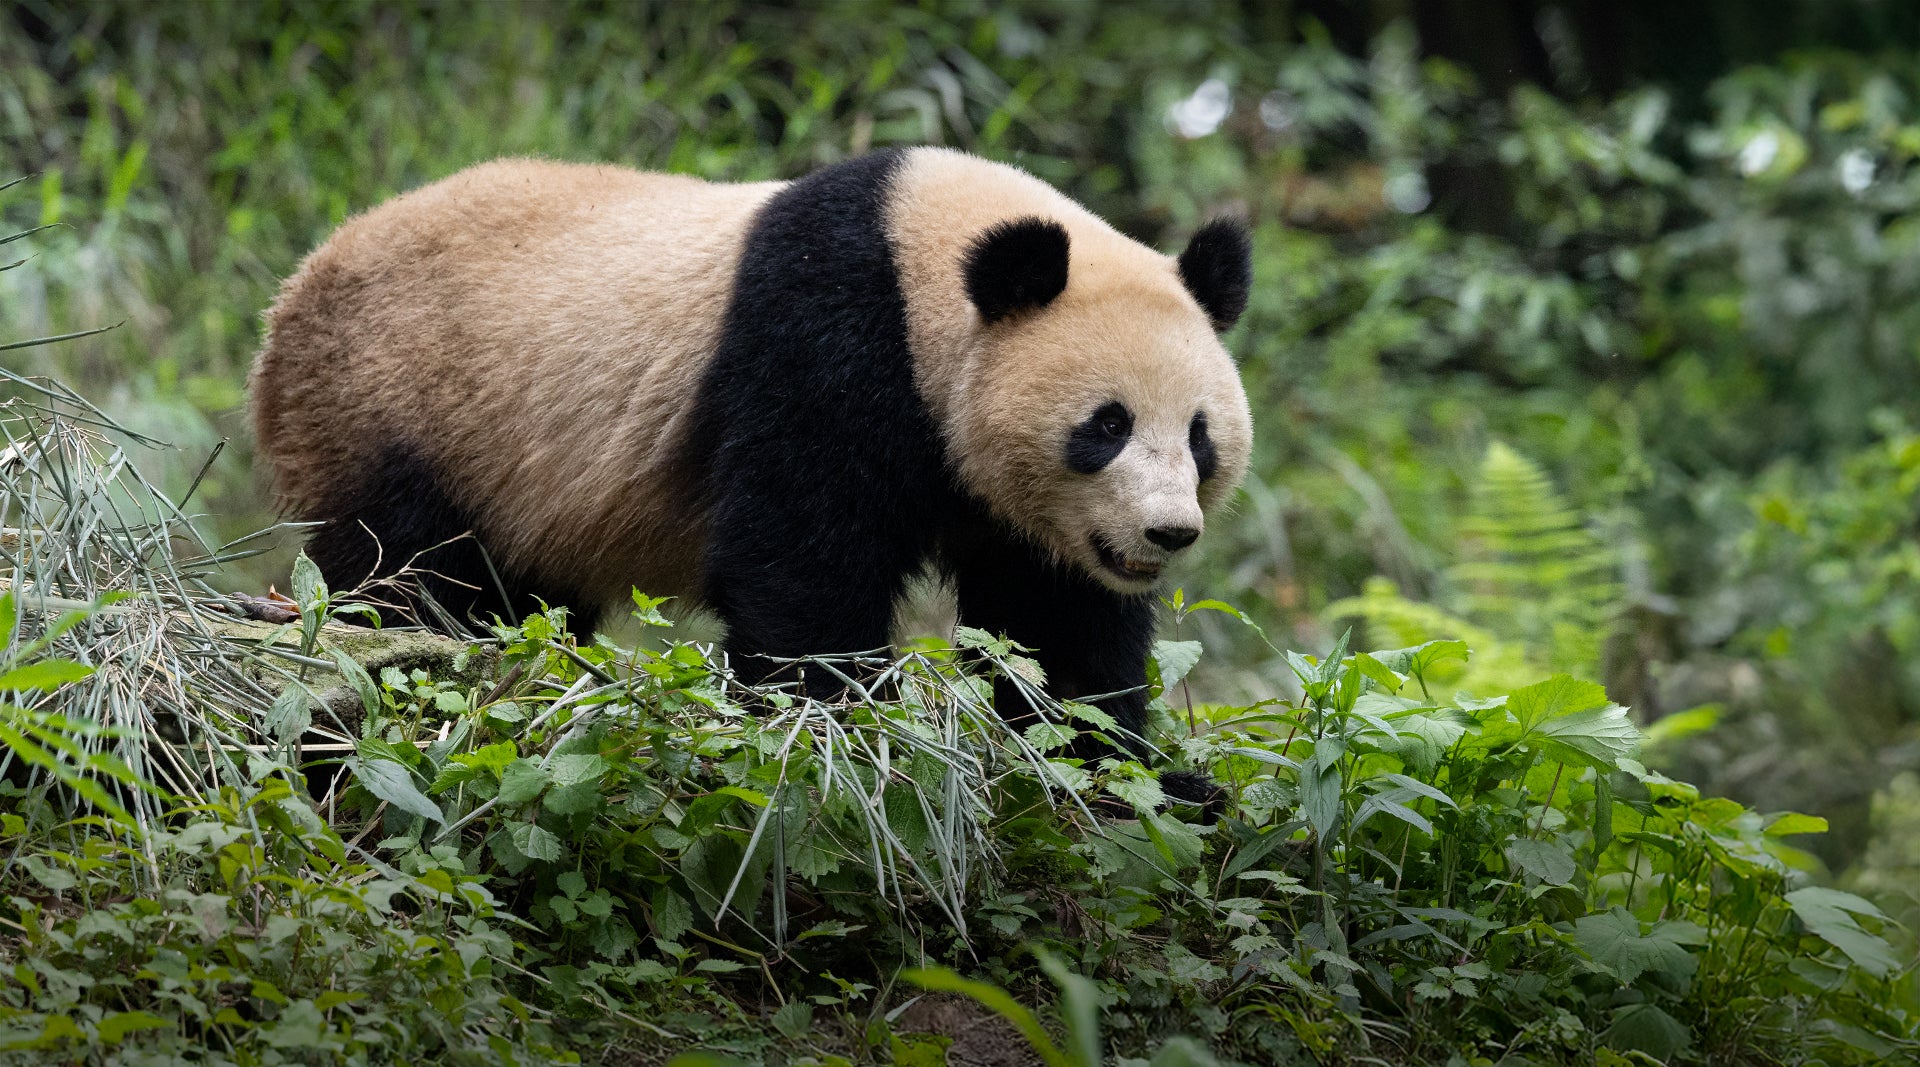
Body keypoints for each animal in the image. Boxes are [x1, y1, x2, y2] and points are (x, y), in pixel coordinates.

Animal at [250, 147, 1253, 807]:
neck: (921, 253)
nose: (1166, 534)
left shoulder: (1023, 510)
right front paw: (848, 739)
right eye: (1107, 426)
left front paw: (1139, 778)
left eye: (1199, 436)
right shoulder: (825, 335)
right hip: (398, 406)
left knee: (521, 606)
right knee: (408, 580)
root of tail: (291, 296)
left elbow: (1054, 623)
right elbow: (802, 559)